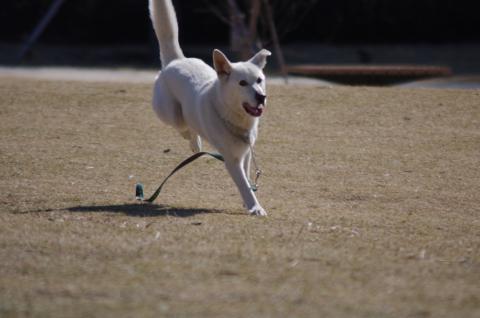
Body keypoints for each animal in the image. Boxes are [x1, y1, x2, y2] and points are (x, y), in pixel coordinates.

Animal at [148, 0, 272, 216]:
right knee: (184, 127)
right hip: (171, 113)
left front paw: (248, 201)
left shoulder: (246, 153)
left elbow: (247, 179)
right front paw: (255, 207)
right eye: (242, 83)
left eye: (259, 80)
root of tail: (176, 60)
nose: (261, 96)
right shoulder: (232, 160)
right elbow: (243, 184)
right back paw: (194, 143)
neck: (233, 117)